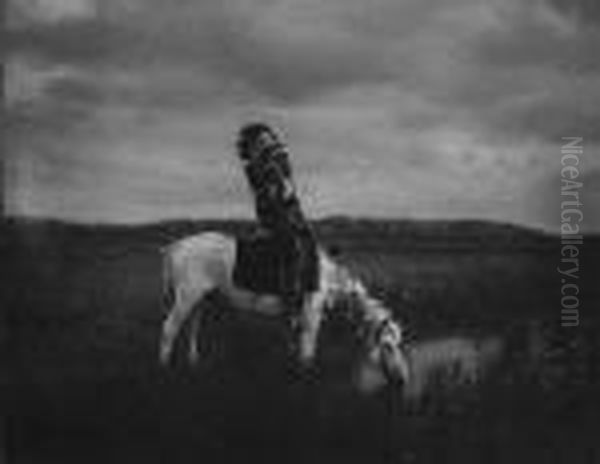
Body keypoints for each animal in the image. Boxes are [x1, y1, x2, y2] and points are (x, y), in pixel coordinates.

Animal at [158, 231, 412, 384]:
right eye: (388, 346)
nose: (402, 380)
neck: (331, 278)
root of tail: (175, 246)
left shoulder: (294, 316)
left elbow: (294, 347)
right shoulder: (311, 315)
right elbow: (308, 352)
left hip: (200, 298)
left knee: (192, 327)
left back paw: (193, 364)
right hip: (187, 296)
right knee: (169, 329)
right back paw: (164, 369)